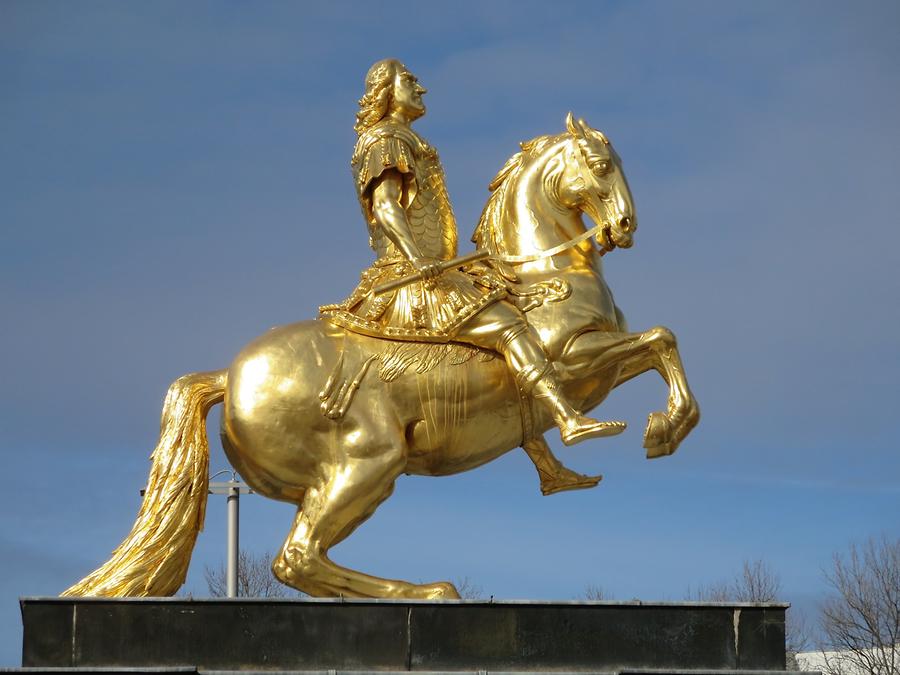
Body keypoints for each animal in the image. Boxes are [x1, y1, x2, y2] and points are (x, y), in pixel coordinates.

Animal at [63, 115, 700, 604]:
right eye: (599, 164)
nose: (625, 226)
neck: (542, 276)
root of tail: (227, 376)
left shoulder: (599, 366)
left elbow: (658, 344)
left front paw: (662, 429)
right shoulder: (572, 361)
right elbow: (660, 339)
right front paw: (655, 429)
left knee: (304, 560)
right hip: (368, 462)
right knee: (296, 558)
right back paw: (431, 591)